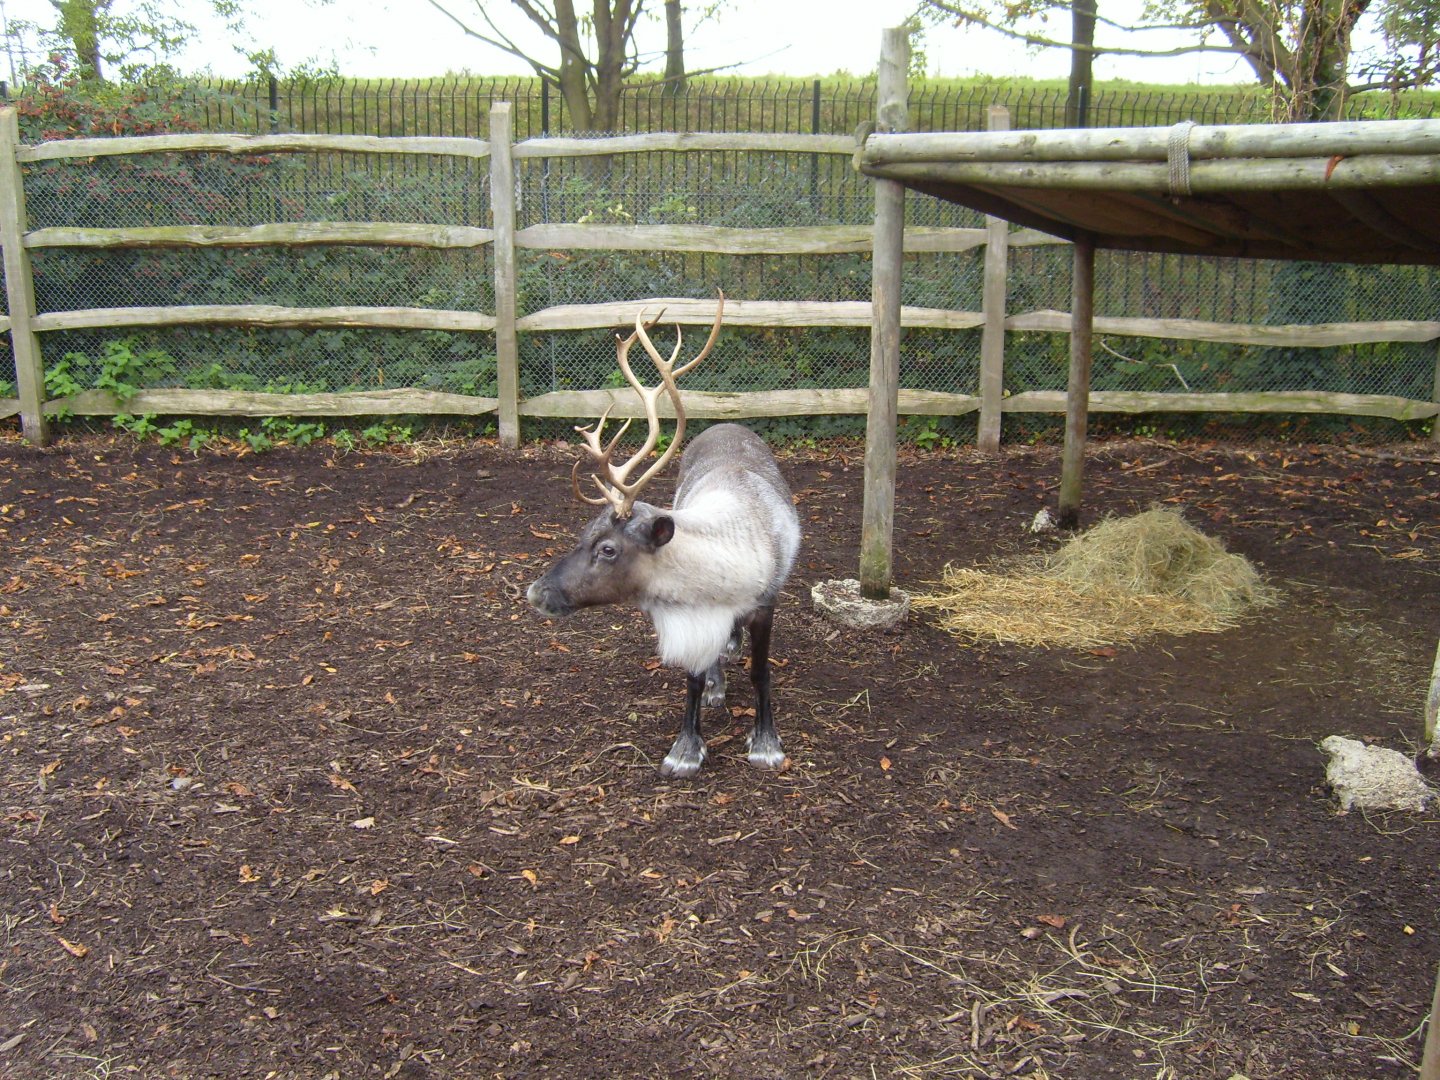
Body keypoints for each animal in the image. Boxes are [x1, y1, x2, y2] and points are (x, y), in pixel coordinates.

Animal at [526, 291, 802, 779]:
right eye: (583, 533)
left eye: (608, 549)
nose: (536, 592)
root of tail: (726, 422)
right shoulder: (693, 614)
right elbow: (692, 677)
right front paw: (686, 747)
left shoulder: (766, 604)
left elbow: (761, 673)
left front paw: (766, 742)